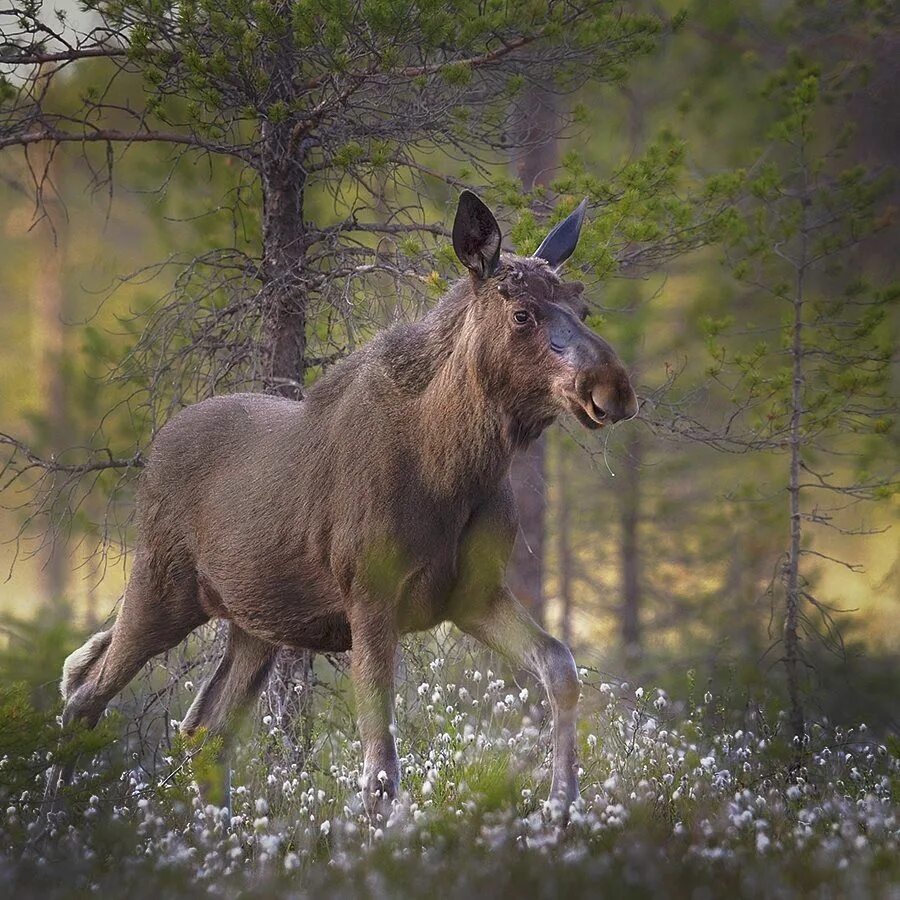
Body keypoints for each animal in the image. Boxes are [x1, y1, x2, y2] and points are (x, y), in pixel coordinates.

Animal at [52, 193, 636, 820]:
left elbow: (561, 666)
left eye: (582, 304)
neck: (456, 467)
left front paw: (562, 805)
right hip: (162, 588)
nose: (614, 388)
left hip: (255, 622)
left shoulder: (474, 593)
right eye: (522, 313)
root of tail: (155, 447)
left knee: (204, 728)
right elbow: (379, 769)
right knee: (84, 694)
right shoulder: (371, 600)